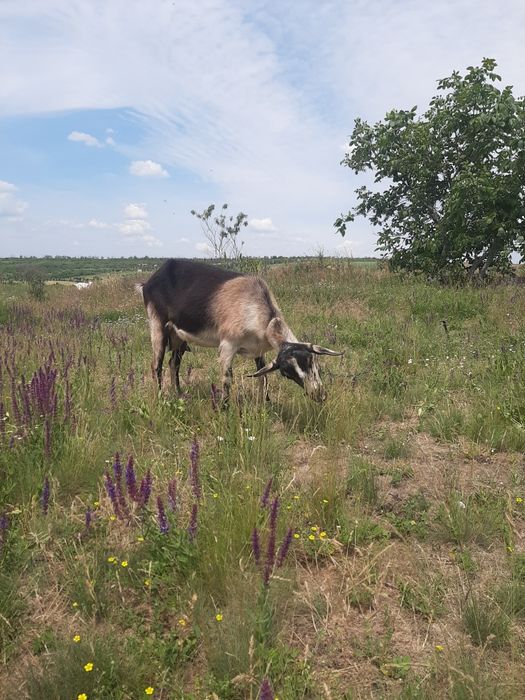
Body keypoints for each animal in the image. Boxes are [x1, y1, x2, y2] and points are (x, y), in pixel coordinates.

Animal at [138, 259, 343, 402]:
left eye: (311, 360)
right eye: (287, 373)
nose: (319, 395)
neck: (253, 304)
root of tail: (147, 283)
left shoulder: (258, 349)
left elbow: (263, 376)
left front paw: (266, 404)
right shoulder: (228, 346)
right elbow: (227, 379)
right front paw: (224, 409)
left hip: (178, 336)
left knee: (174, 363)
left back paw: (179, 394)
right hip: (157, 325)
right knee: (156, 365)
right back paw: (161, 399)